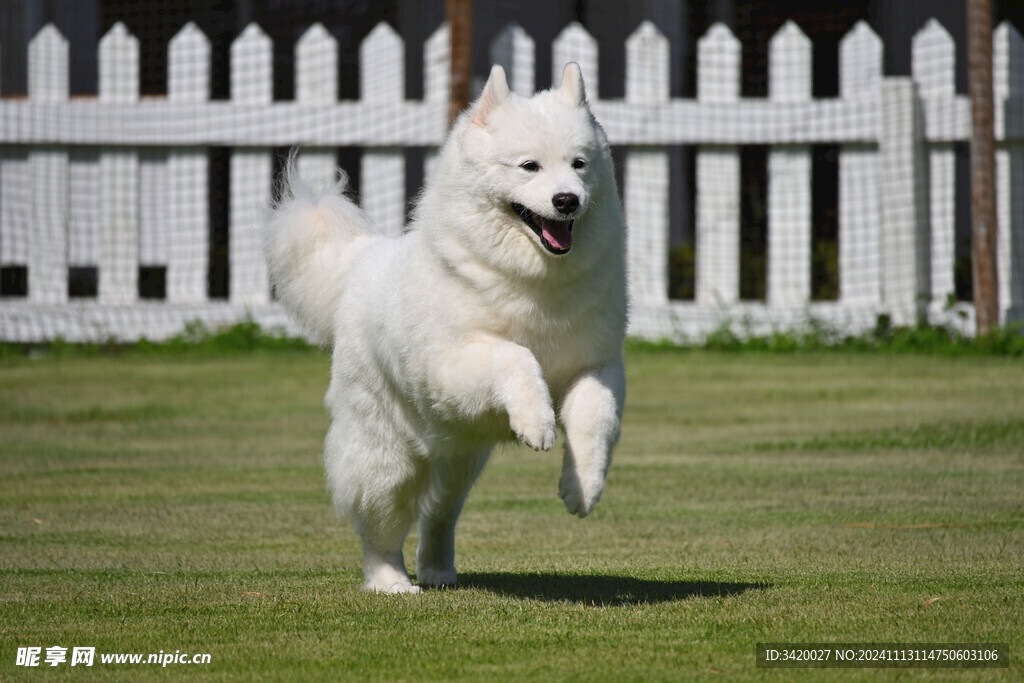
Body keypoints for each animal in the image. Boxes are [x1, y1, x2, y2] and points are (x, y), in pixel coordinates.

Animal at [266, 63, 622, 593]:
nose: (567, 200)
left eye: (579, 164)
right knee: (382, 531)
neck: (536, 282)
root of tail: (362, 261)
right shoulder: (452, 363)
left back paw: (438, 571)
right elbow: (516, 356)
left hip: (459, 462)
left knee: (437, 517)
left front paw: (583, 489)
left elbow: (595, 421)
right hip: (387, 460)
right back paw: (392, 583)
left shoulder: (594, 367)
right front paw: (536, 422)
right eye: (529, 167)